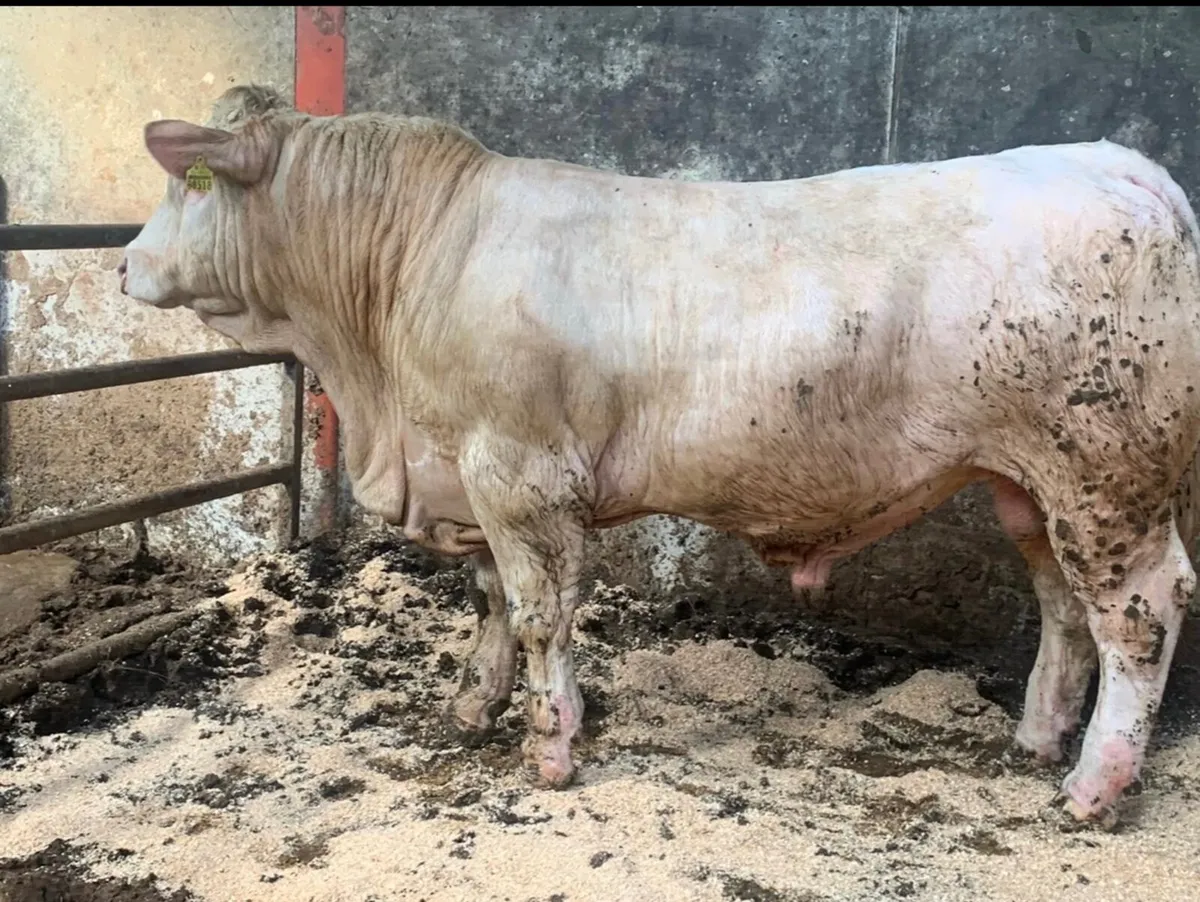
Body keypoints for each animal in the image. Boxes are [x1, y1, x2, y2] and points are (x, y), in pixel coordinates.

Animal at [119, 84, 1200, 827]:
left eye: (190, 184)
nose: (124, 263)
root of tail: (1117, 164)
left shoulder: (521, 472)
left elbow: (541, 613)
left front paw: (552, 748)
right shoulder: (464, 474)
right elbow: (488, 602)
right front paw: (473, 703)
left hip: (1107, 472)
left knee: (1142, 611)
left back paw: (1094, 786)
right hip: (1030, 482)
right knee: (1063, 605)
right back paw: (1038, 739)